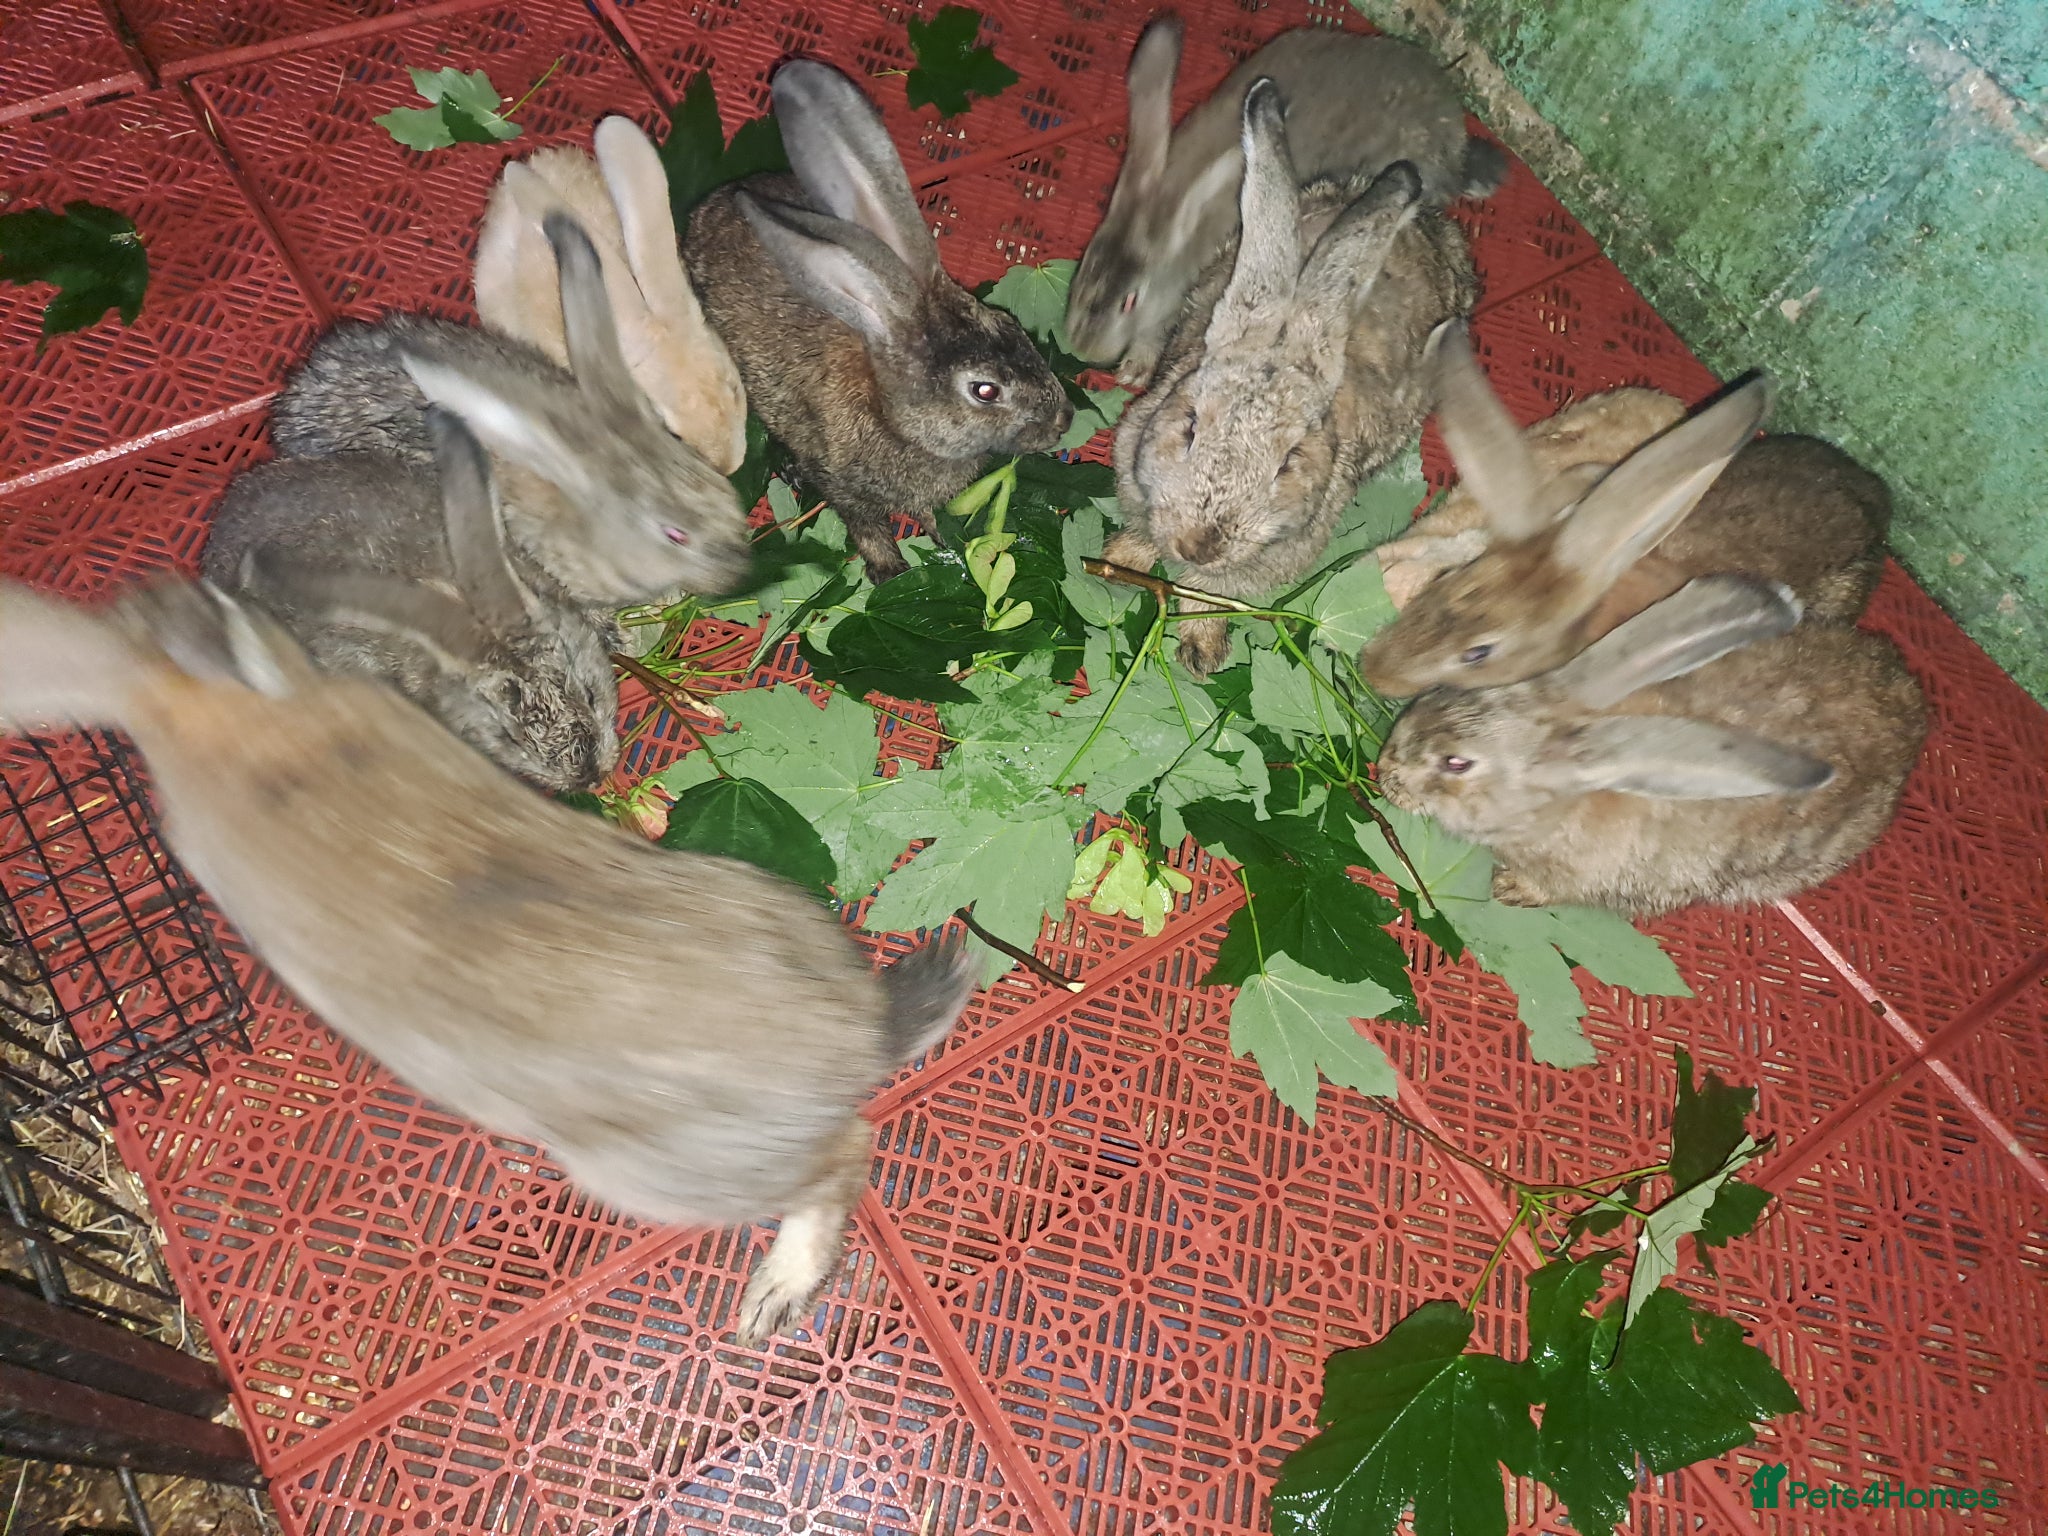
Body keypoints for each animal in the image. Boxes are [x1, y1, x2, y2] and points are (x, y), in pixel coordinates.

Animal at [684, 59, 1072, 583]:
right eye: (985, 390)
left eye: (1012, 325)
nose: (1064, 419)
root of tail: (708, 205)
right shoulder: (844, 483)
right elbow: (866, 527)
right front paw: (892, 572)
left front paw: (944, 540)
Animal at [1107, 79, 1478, 678]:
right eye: (1189, 428)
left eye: (1288, 463)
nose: (1201, 544)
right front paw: (1118, 561)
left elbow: (1209, 592)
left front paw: (1201, 653)